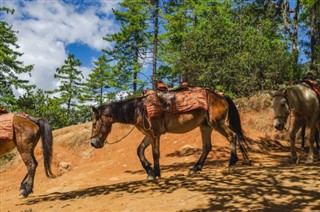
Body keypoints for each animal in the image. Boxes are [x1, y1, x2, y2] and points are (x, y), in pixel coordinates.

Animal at [90, 87, 250, 179]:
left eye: (94, 123)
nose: (93, 143)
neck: (139, 108)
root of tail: (221, 96)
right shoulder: (148, 134)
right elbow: (139, 150)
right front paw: (149, 171)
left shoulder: (155, 133)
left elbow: (155, 153)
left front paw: (155, 173)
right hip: (206, 126)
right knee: (207, 147)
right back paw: (195, 169)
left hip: (218, 123)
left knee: (232, 136)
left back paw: (232, 163)